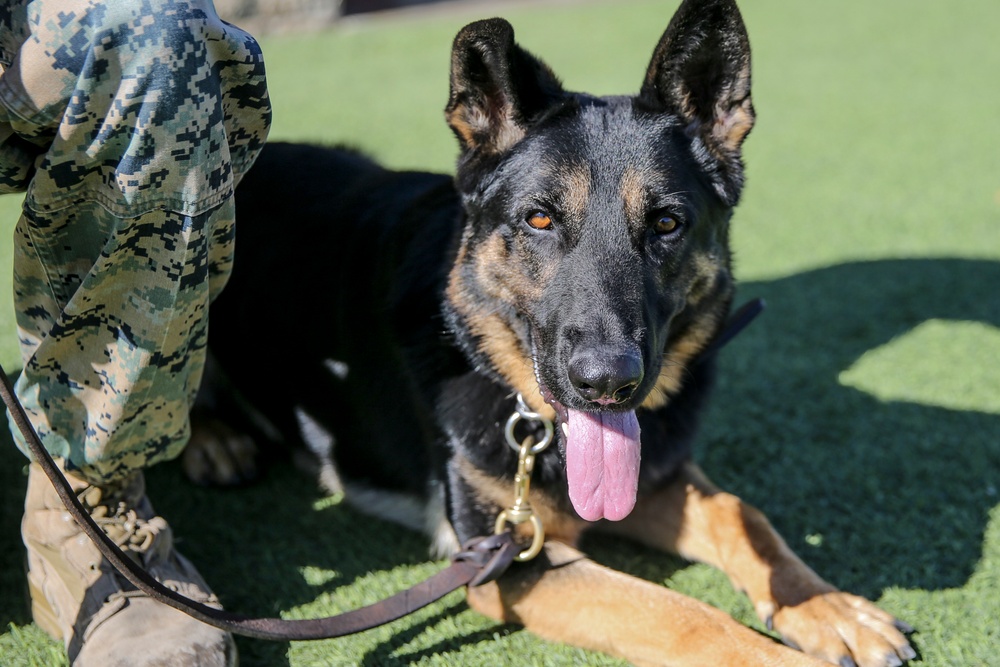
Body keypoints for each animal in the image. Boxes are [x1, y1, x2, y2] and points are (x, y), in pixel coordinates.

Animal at [188, 2, 916, 664]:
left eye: (667, 223)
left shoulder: (655, 479)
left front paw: (829, 607)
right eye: (539, 219)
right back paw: (214, 439)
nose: (606, 383)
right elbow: (680, 614)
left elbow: (742, 514)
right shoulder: (511, 558)